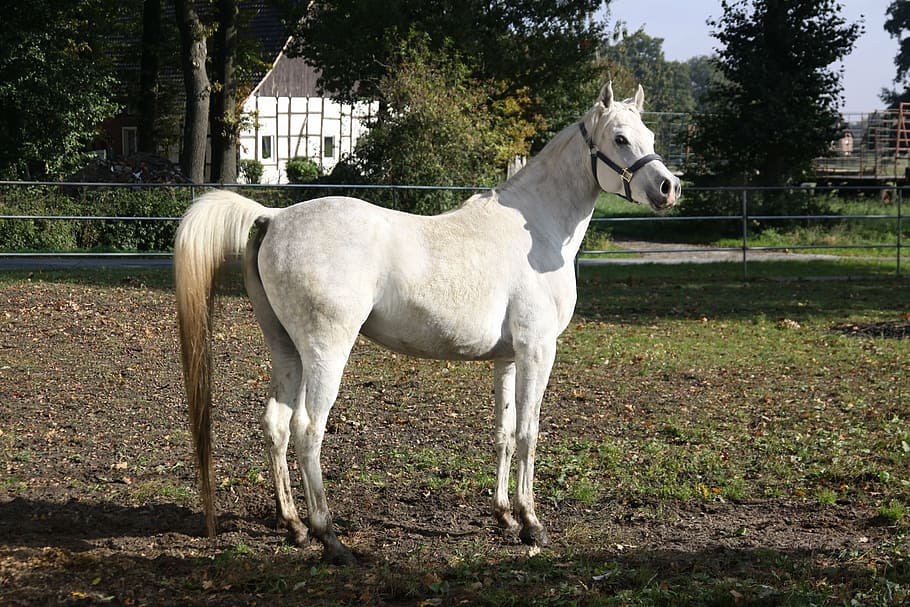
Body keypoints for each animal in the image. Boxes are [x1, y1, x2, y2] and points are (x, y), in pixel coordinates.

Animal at [174, 81, 680, 565]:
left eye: (651, 136)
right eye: (620, 138)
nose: (668, 188)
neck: (538, 232)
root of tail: (274, 217)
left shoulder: (508, 358)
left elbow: (503, 432)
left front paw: (505, 517)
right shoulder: (538, 351)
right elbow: (528, 432)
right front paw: (532, 523)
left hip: (287, 351)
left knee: (277, 425)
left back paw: (294, 525)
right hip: (325, 352)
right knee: (307, 430)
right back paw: (329, 537)